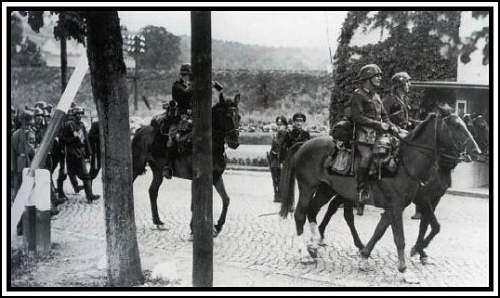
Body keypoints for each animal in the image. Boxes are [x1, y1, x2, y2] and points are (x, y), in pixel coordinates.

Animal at [131, 93, 240, 235]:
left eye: (239, 117)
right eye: (227, 116)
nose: (235, 142)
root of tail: (139, 129)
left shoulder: (216, 177)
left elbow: (226, 199)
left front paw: (218, 225)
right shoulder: (196, 179)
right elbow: (194, 204)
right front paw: (194, 228)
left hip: (158, 171)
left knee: (153, 191)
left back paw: (158, 221)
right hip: (136, 166)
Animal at [282, 108, 480, 278]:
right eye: (456, 126)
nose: (476, 150)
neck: (405, 163)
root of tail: (304, 144)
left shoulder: (396, 206)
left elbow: (380, 231)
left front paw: (364, 257)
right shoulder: (401, 205)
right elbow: (401, 237)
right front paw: (405, 269)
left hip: (327, 190)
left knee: (314, 211)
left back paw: (314, 246)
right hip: (308, 187)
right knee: (301, 214)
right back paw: (304, 253)